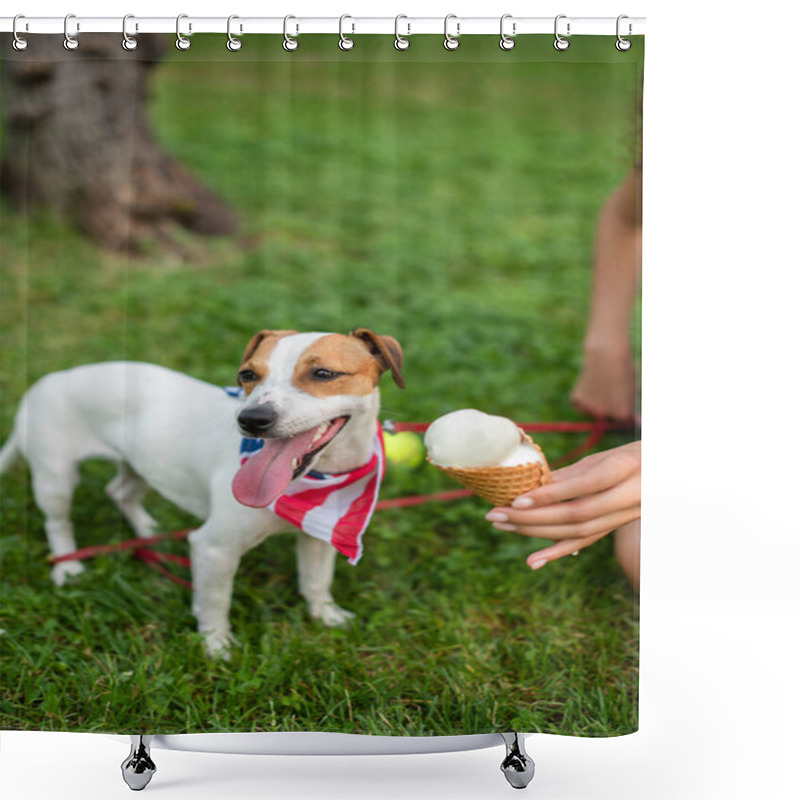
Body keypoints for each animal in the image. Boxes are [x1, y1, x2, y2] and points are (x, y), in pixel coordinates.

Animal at [0, 328, 404, 652]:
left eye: (323, 374)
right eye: (247, 375)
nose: (251, 419)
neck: (318, 478)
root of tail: (48, 380)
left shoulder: (317, 535)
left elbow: (316, 581)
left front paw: (326, 616)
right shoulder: (214, 549)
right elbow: (215, 602)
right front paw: (216, 647)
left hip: (142, 461)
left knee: (120, 491)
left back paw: (148, 532)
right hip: (55, 476)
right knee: (57, 522)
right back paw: (68, 568)